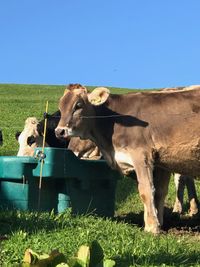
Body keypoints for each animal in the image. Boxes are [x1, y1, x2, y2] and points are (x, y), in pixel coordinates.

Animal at [55, 85, 200, 233]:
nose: (59, 131)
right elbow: (160, 192)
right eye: (61, 106)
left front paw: (151, 227)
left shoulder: (141, 156)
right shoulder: (161, 161)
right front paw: (159, 223)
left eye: (78, 105)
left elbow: (146, 190)